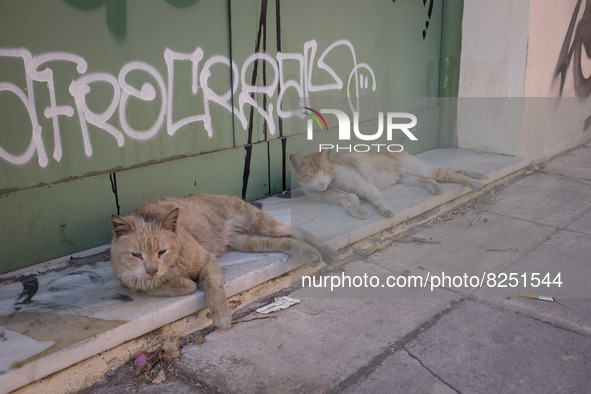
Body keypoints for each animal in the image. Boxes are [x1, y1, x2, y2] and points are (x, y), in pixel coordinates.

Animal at [108, 192, 336, 328]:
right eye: (137, 255)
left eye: (161, 251)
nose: (152, 269)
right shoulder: (132, 280)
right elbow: (180, 286)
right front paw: (176, 281)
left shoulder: (207, 261)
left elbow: (213, 287)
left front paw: (221, 317)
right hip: (249, 241)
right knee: (285, 241)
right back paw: (310, 253)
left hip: (261, 224)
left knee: (297, 230)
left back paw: (325, 252)